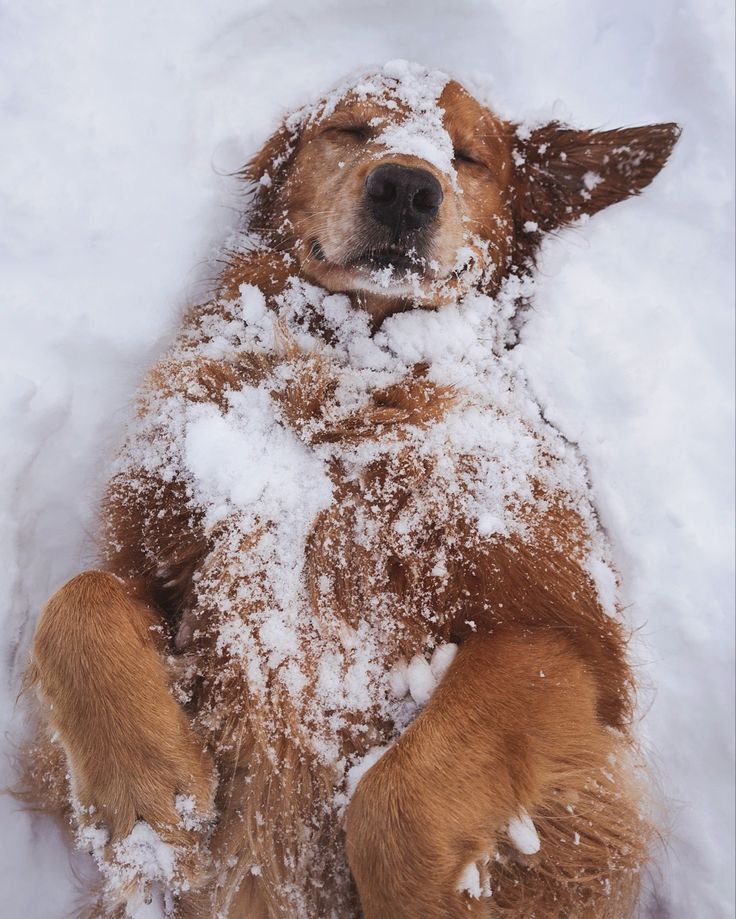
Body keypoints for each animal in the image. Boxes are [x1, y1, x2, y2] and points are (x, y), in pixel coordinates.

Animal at [21, 61, 680, 916]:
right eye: (354, 128)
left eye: (468, 155)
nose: (406, 187)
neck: (352, 366)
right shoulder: (154, 549)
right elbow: (75, 602)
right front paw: (144, 791)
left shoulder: (569, 636)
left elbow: (395, 801)